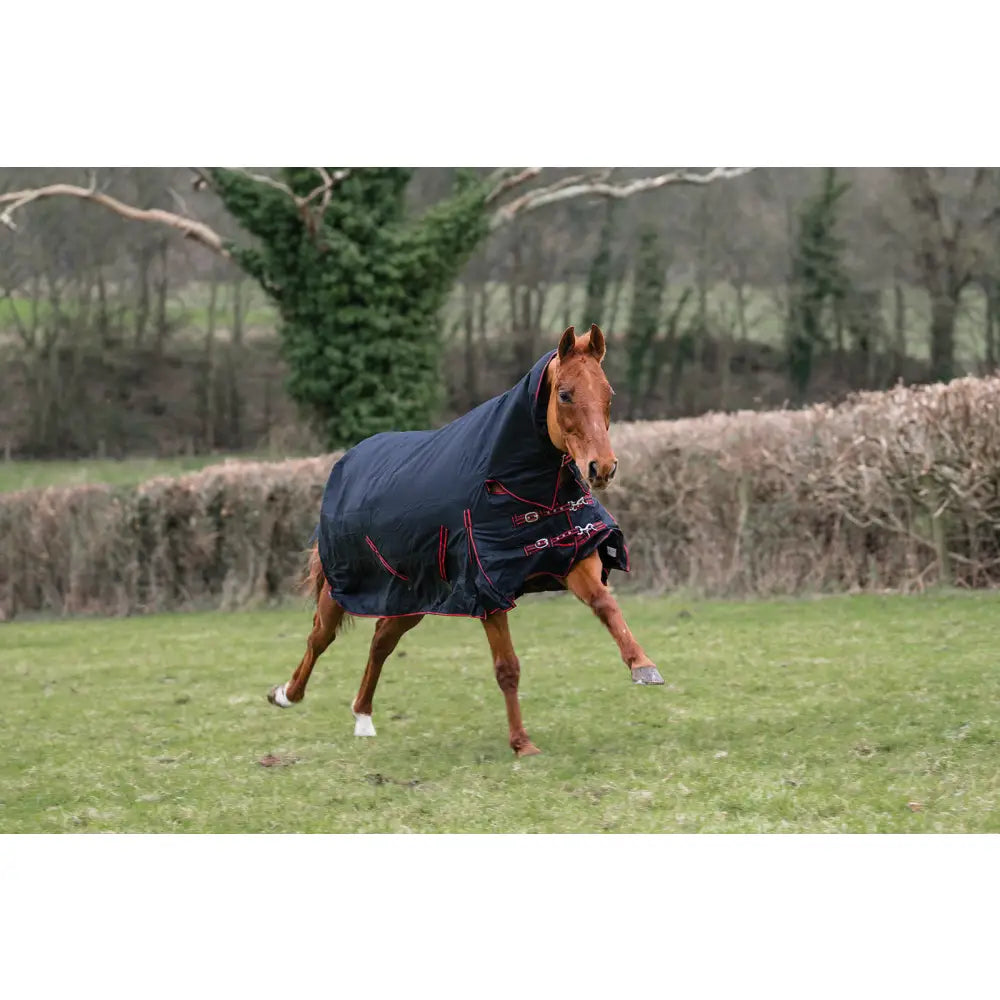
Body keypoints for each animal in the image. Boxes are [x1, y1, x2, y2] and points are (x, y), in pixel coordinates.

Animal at [267, 324, 663, 756]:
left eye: (609, 393)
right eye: (565, 394)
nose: (602, 468)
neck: (518, 485)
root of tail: (348, 461)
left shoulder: (568, 556)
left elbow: (605, 604)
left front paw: (643, 665)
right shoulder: (487, 587)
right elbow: (507, 668)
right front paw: (522, 744)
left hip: (413, 596)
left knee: (381, 640)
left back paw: (363, 717)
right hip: (343, 586)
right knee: (320, 636)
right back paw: (286, 694)